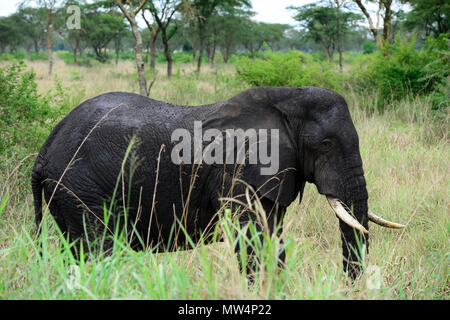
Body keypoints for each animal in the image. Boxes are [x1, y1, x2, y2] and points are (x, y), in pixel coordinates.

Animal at [31, 87, 404, 280]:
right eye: (325, 145)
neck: (284, 98)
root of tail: (47, 146)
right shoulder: (237, 172)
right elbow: (253, 244)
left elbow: (273, 241)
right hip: (78, 188)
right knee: (98, 251)